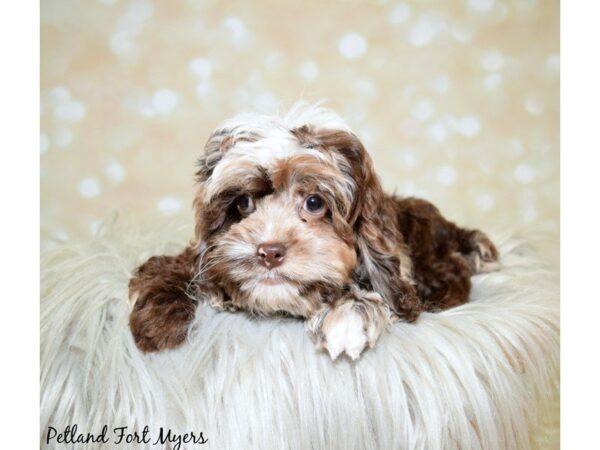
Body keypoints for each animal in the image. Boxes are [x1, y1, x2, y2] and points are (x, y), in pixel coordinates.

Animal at [129, 103, 500, 360]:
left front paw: (349, 312)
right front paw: (157, 325)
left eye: (314, 202)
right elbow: (168, 269)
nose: (269, 252)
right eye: (243, 203)